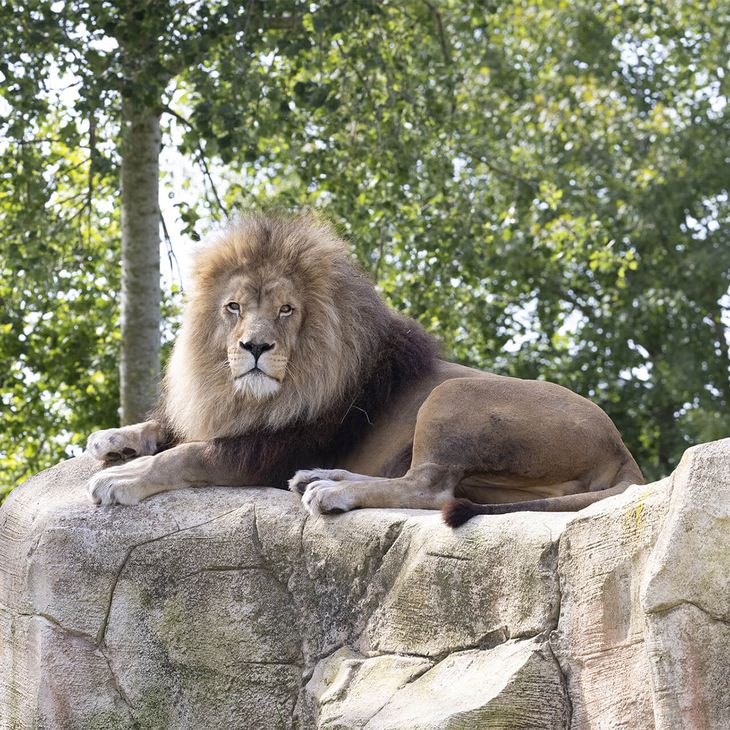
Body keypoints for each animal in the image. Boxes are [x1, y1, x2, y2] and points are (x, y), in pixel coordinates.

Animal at [86, 214, 643, 526]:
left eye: (286, 310)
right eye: (233, 307)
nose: (255, 347)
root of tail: (622, 452)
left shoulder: (269, 449)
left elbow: (189, 454)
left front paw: (125, 477)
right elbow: (168, 432)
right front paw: (116, 438)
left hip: (456, 395)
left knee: (430, 489)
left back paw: (333, 490)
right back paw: (319, 477)